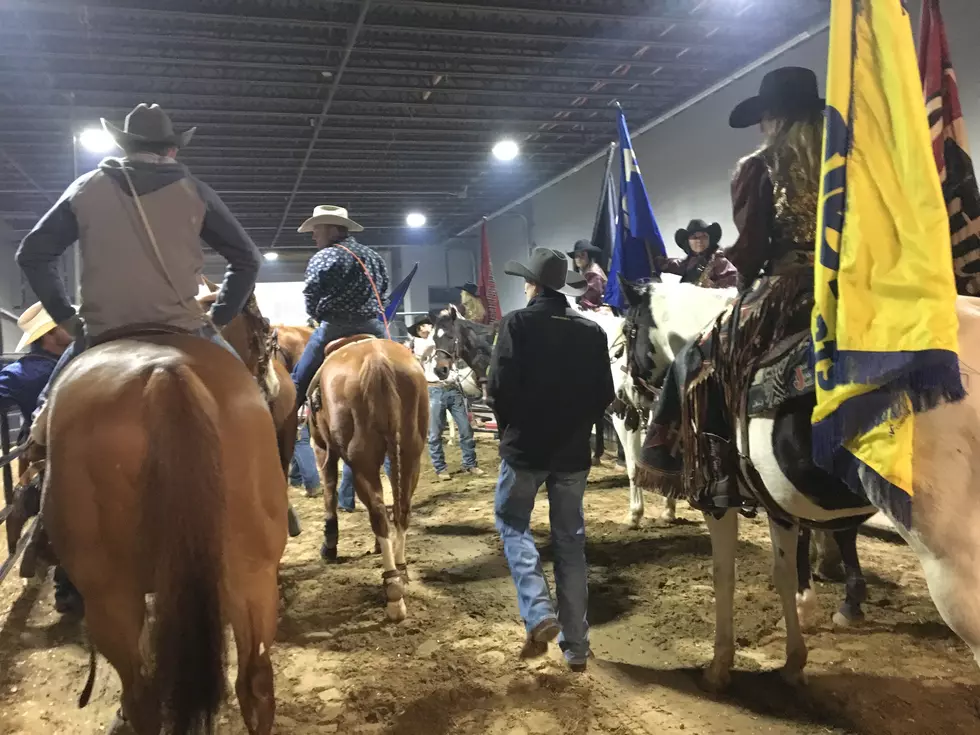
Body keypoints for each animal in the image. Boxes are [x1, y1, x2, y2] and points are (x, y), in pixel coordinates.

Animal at [42, 334, 288, 735]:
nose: (275, 386)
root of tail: (165, 372)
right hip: (253, 576)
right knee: (256, 683)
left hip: (110, 596)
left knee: (142, 696)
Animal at [308, 338, 426, 620]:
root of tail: (377, 360)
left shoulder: (321, 449)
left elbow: (330, 489)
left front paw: (329, 546)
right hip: (409, 453)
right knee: (401, 508)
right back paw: (400, 571)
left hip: (363, 460)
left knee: (378, 513)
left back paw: (393, 592)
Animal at [620, 282, 980, 688]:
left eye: (628, 330)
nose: (626, 397)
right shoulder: (780, 506)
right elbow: (785, 573)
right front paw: (794, 658)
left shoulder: (718, 501)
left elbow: (724, 575)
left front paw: (719, 664)